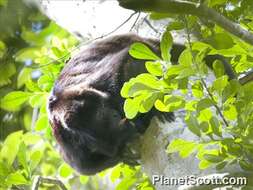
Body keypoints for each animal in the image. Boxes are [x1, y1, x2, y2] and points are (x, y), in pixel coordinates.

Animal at [47, 33, 235, 175]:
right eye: (94, 143)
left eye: (107, 114)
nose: (118, 120)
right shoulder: (69, 144)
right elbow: (84, 166)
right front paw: (122, 147)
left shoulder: (94, 82)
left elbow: (126, 59)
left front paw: (152, 108)